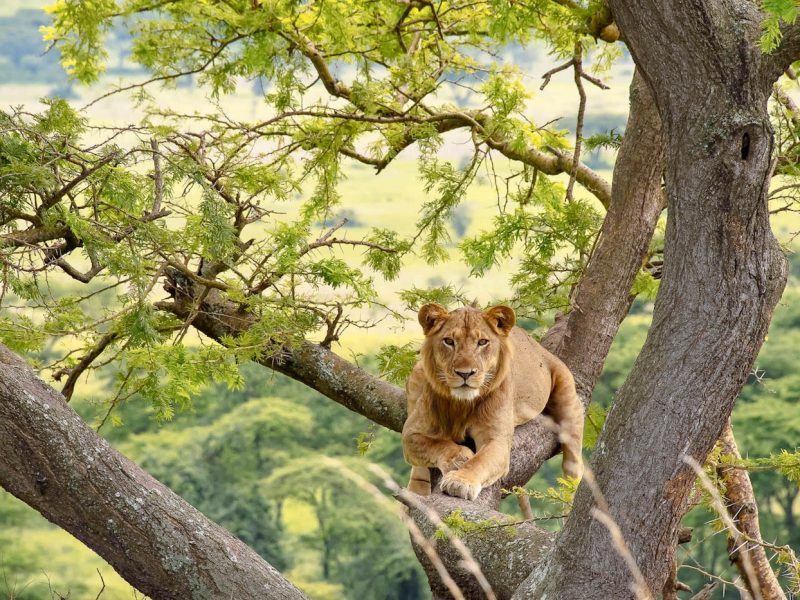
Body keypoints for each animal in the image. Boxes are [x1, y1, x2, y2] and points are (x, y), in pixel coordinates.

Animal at [404, 300, 584, 502]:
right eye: (449, 341)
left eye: (482, 342)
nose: (465, 373)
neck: (461, 404)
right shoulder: (411, 433)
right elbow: (435, 445)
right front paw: (460, 457)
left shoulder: (497, 440)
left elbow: (480, 462)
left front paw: (460, 481)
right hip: (418, 372)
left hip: (566, 393)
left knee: (573, 458)